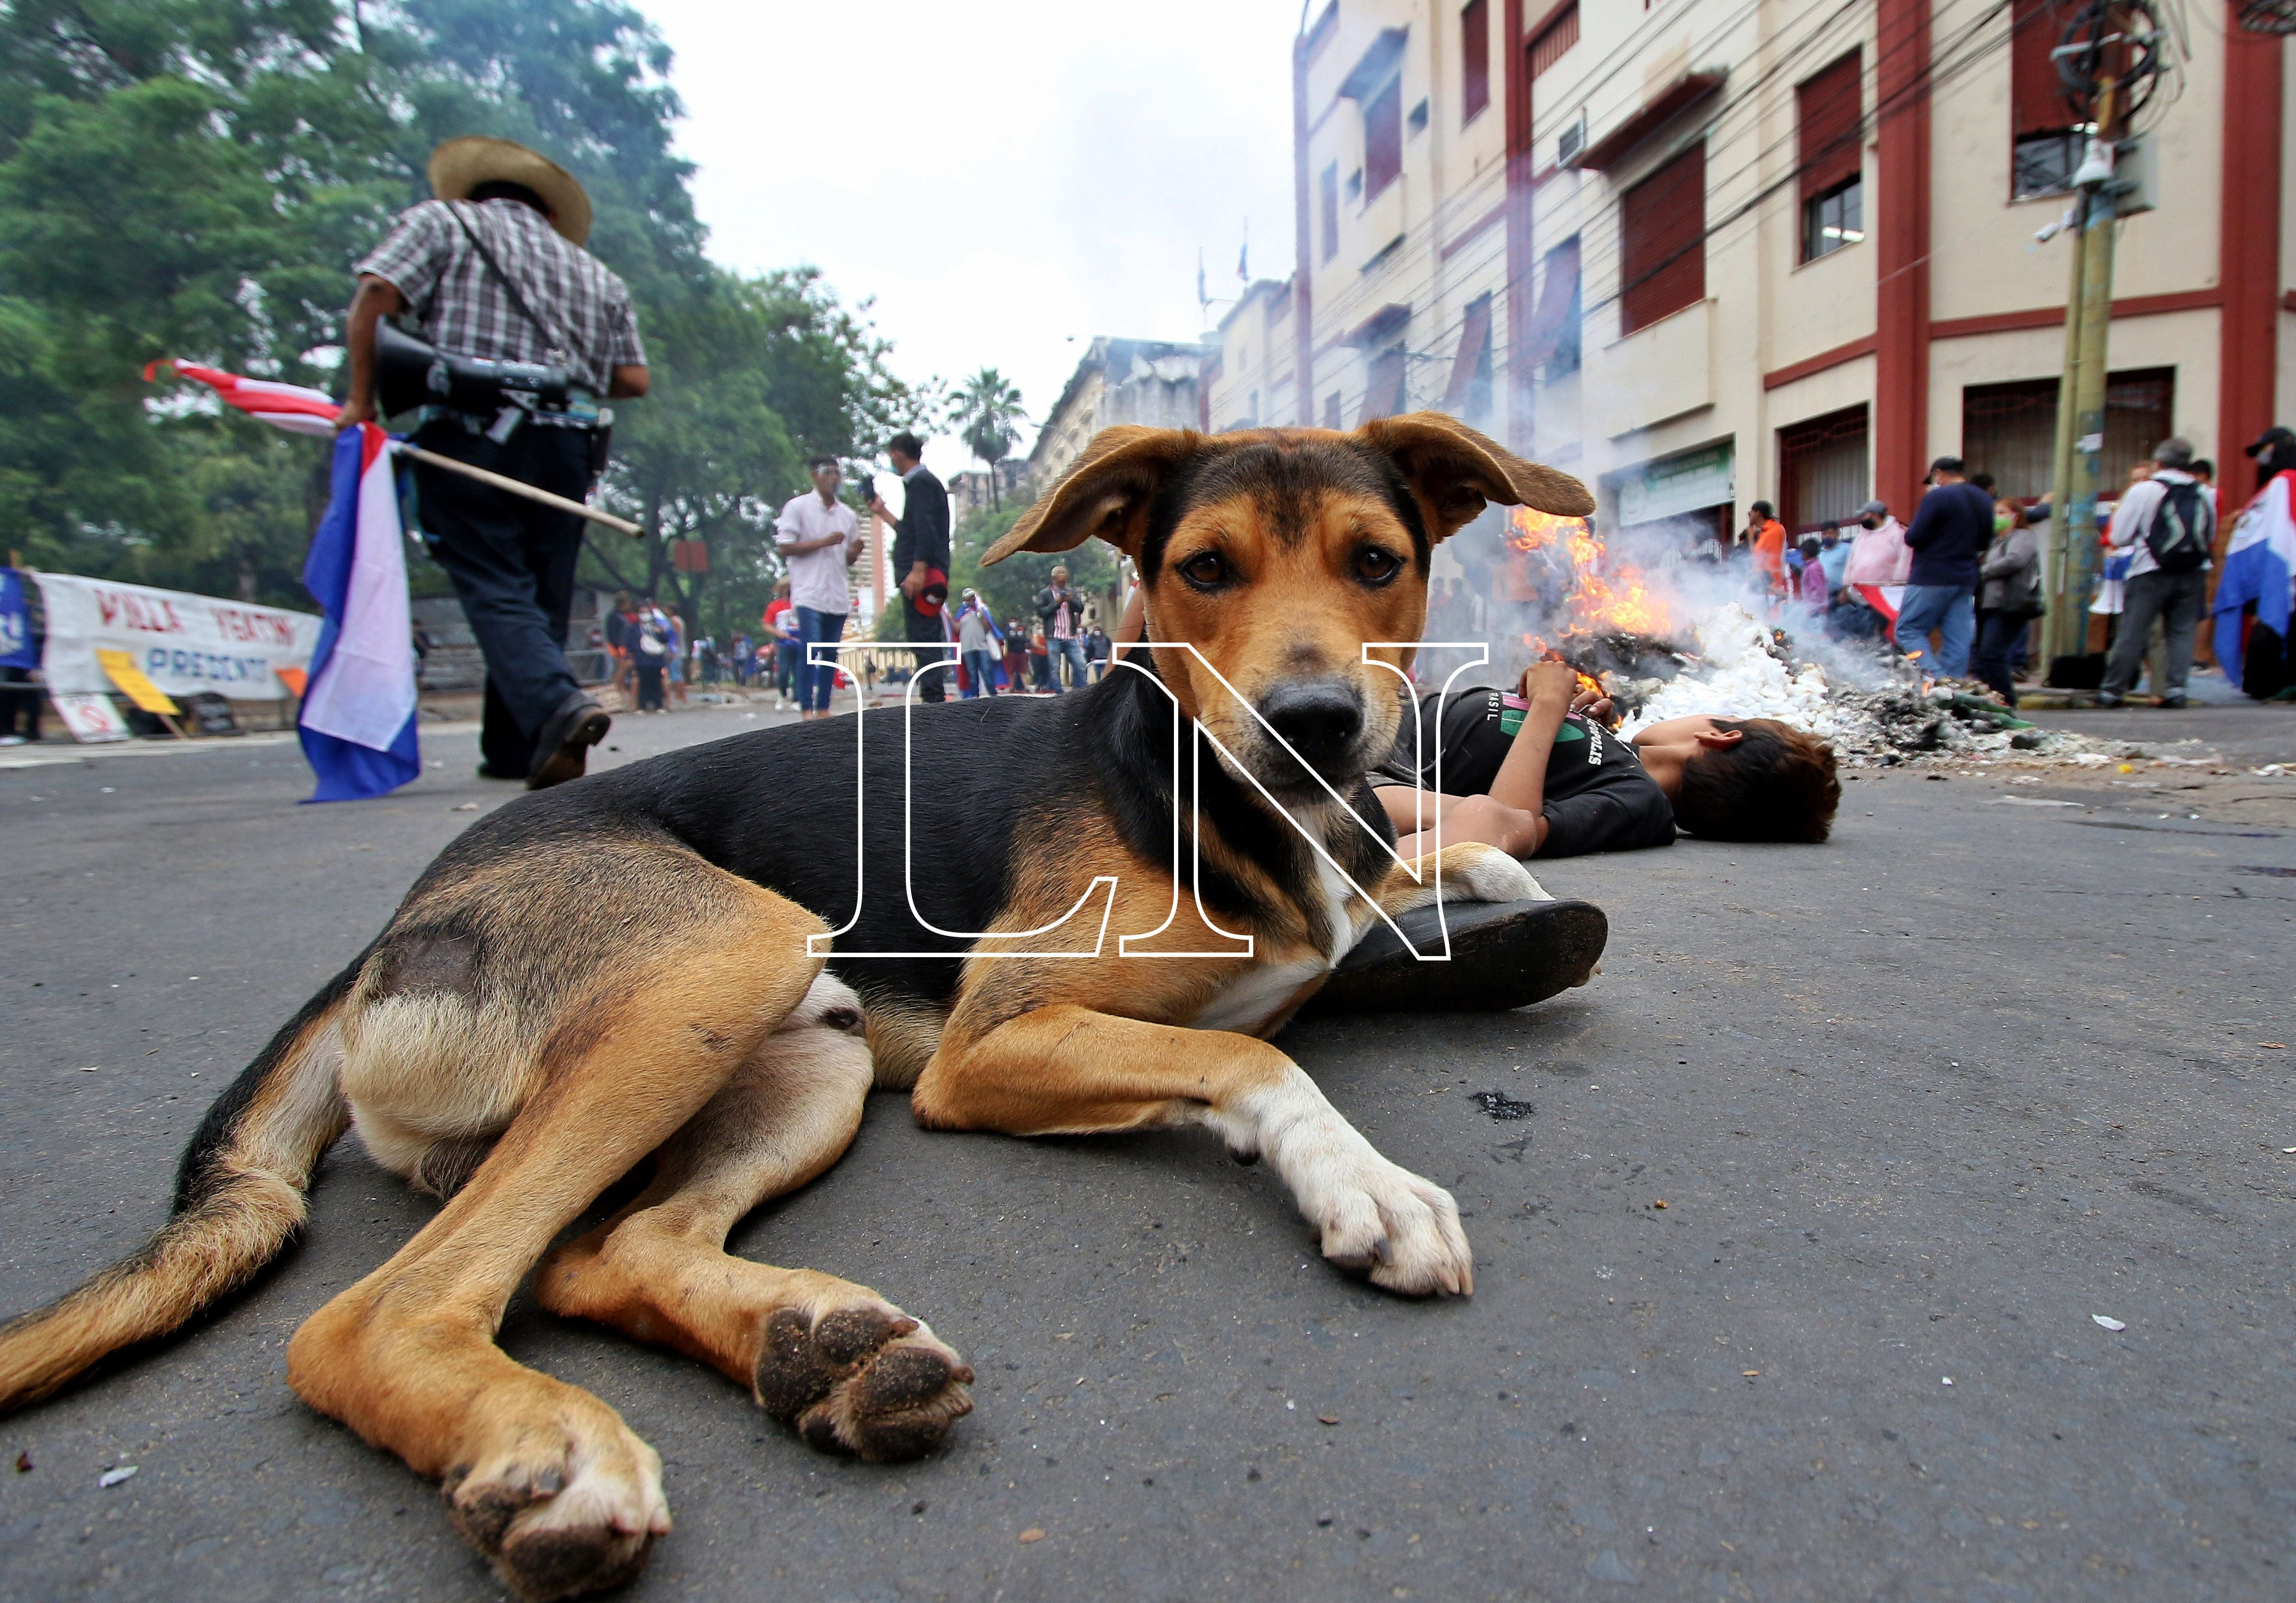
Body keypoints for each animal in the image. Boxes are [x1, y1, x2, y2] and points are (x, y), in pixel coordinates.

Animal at [0, 409, 1598, 1589]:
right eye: (1202, 569)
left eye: (1377, 559)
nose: (1313, 723)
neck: (1221, 788)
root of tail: (389, 925)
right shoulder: (992, 1044)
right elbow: (1263, 1067)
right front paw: (1367, 1182)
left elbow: (1402, 872)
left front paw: (1480, 867)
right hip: (727, 955)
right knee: (385, 1309)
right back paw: (552, 1450)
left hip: (803, 1057)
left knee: (605, 1247)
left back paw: (814, 1351)